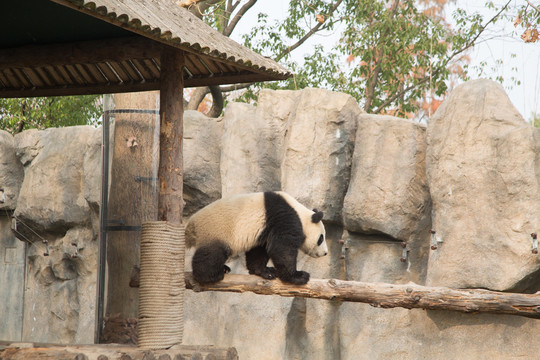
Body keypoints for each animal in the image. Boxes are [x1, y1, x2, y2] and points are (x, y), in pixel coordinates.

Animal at [186, 191, 330, 284]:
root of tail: (191, 224)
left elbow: (260, 250)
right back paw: (210, 276)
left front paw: (265, 271)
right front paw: (298, 276)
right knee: (212, 253)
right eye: (321, 238)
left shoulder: (265, 229)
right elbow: (282, 249)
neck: (301, 214)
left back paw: (223, 269)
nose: (325, 253)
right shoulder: (285, 219)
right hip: (216, 230)